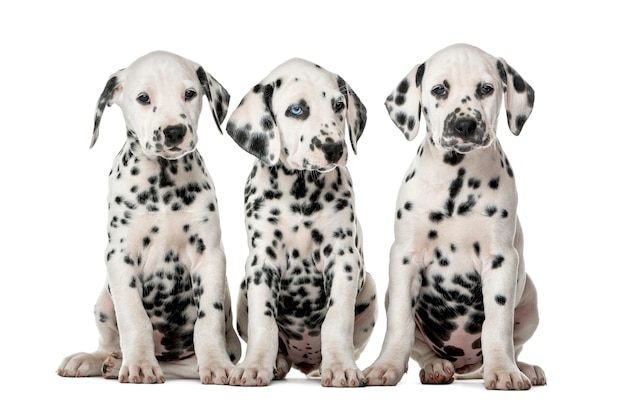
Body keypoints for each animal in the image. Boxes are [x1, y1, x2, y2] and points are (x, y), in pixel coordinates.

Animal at [54, 51, 240, 386]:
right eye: (143, 98)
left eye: (189, 93)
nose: (174, 131)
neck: (163, 181)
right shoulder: (120, 256)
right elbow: (134, 318)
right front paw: (140, 365)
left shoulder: (210, 256)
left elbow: (208, 319)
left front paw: (217, 364)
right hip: (103, 302)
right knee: (110, 345)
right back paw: (92, 360)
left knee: (184, 365)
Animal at [224, 58, 376, 388]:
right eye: (296, 110)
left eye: (338, 105)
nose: (334, 149)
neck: (300, 191)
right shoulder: (262, 264)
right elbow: (264, 323)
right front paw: (254, 366)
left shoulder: (343, 259)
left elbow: (336, 321)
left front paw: (340, 367)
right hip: (242, 289)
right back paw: (278, 364)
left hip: (369, 285)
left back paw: (322, 366)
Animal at [364, 44, 544, 392]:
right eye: (439, 90)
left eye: (486, 89)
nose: (464, 125)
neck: (457, 180)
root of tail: (465, 367)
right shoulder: (404, 258)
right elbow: (400, 323)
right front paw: (386, 366)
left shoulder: (501, 260)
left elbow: (497, 323)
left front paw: (504, 370)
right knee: (423, 350)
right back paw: (436, 366)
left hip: (529, 298)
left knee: (515, 342)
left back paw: (524, 368)